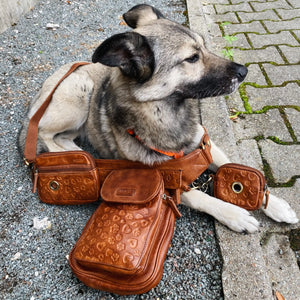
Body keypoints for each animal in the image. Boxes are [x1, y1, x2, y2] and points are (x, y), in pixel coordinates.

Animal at [18, 4, 298, 232]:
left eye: (204, 47)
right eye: (192, 58)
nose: (244, 71)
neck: (167, 111)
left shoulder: (205, 144)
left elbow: (234, 165)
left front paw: (274, 203)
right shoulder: (164, 181)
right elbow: (200, 196)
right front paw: (234, 214)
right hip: (80, 91)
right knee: (44, 133)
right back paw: (72, 157)